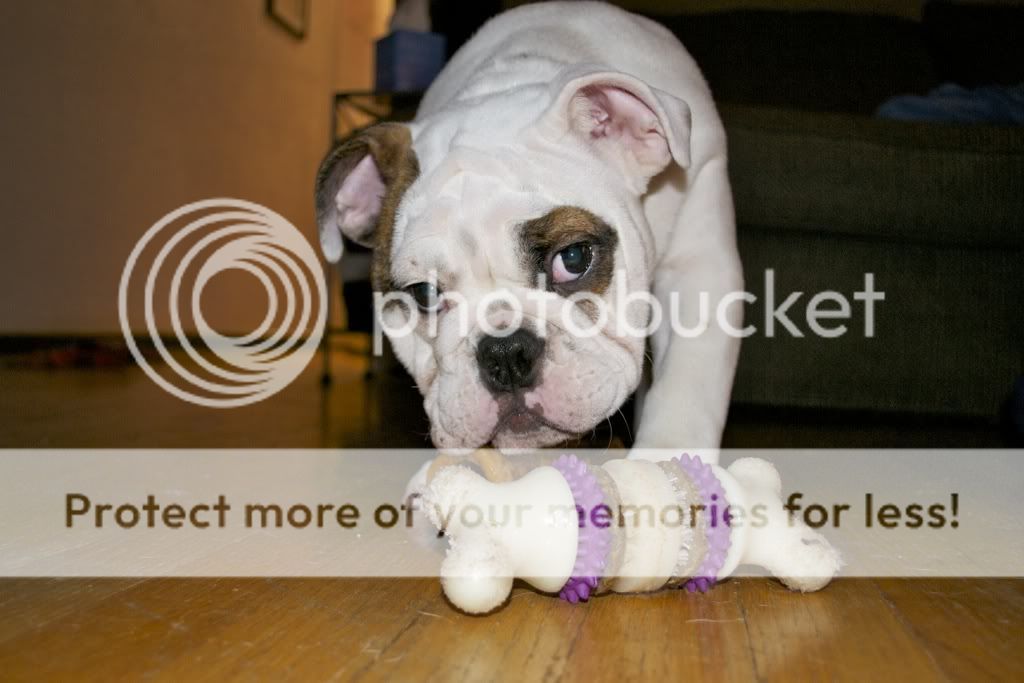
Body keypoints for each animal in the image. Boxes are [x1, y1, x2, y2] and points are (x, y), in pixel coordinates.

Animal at [315, 2, 743, 456]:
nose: (505, 352)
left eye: (572, 258)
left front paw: (668, 460)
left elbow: (685, 384)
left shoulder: (698, 264)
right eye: (424, 293)